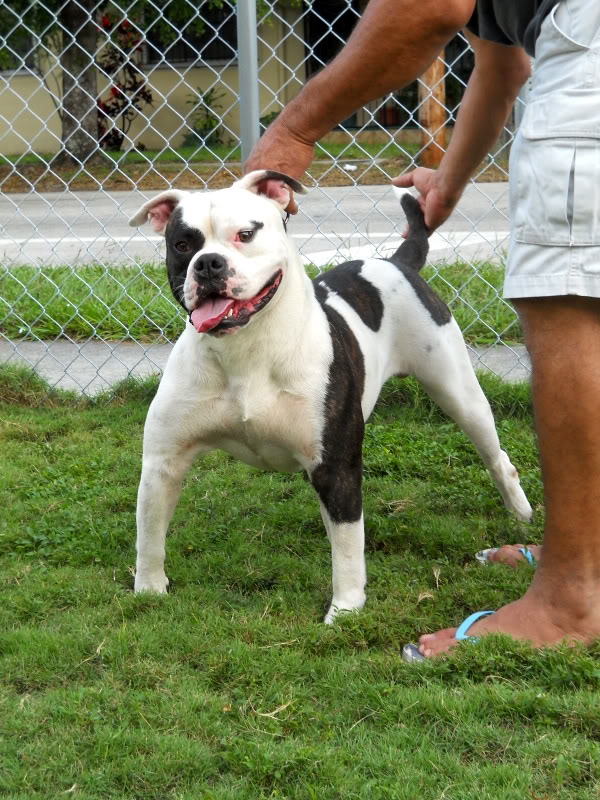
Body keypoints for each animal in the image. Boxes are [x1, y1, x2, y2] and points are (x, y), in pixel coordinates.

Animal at [130, 170, 528, 624]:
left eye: (246, 234)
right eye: (182, 244)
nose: (208, 263)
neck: (246, 349)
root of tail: (395, 262)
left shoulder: (336, 467)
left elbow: (349, 548)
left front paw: (346, 609)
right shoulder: (163, 463)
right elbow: (149, 534)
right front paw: (149, 590)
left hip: (459, 393)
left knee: (497, 458)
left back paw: (521, 515)